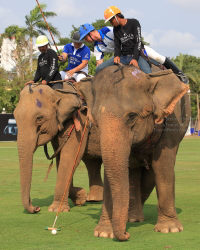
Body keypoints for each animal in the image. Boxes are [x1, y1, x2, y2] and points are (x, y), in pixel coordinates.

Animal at [13, 83, 103, 214]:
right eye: (15, 117)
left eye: (39, 118)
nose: (36, 208)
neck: (57, 92)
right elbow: (61, 160)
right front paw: (80, 197)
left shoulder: (78, 123)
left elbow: (70, 157)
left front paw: (56, 209)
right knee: (92, 162)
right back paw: (93, 199)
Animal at [79, 65, 190, 241]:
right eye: (95, 119)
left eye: (132, 116)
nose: (126, 234)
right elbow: (113, 172)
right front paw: (103, 232)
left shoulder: (170, 127)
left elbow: (162, 167)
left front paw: (169, 229)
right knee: (134, 172)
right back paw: (133, 218)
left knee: (151, 173)